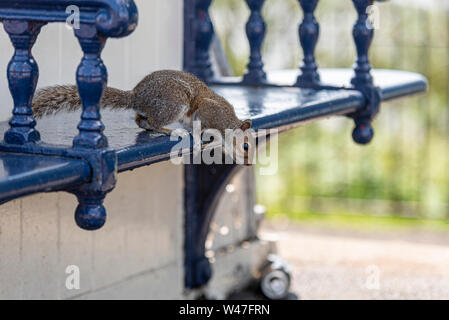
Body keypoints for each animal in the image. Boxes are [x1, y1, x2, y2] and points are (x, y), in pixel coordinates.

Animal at [31, 69, 252, 136]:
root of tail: (137, 95)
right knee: (155, 120)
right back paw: (164, 129)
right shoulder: (210, 109)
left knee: (140, 120)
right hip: (174, 103)